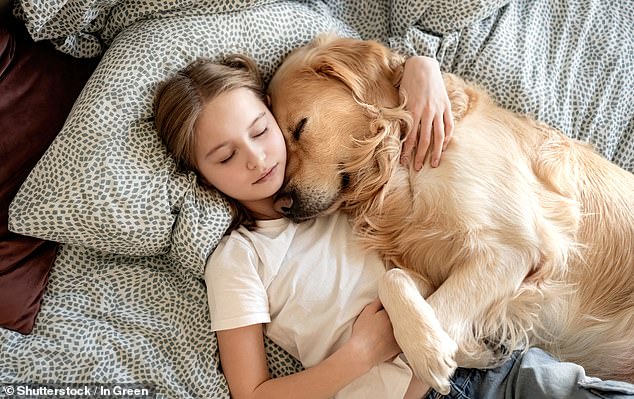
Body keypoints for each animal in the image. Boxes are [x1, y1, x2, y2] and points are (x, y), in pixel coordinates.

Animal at [266, 34, 632, 394]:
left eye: (299, 128)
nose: (282, 204)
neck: (398, 162)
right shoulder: (430, 267)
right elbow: (391, 279)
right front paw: (475, 349)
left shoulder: (512, 249)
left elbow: (437, 316)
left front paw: (429, 353)